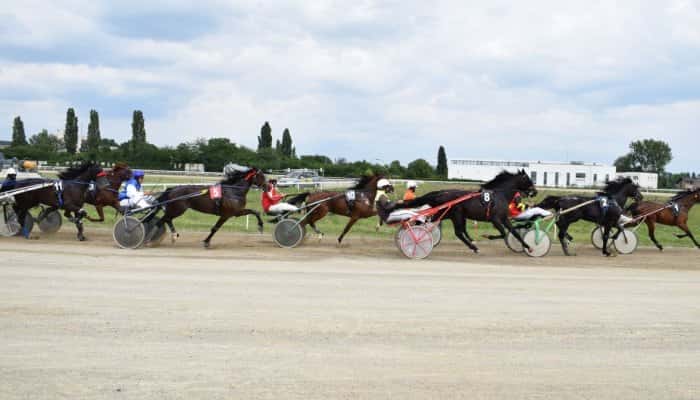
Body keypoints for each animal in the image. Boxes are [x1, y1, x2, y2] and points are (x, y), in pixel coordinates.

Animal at [388, 170, 536, 253]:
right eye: (529, 179)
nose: (535, 192)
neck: (500, 195)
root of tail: (440, 193)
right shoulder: (495, 219)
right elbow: (503, 233)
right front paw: (487, 236)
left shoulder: (504, 218)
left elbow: (514, 232)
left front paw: (528, 247)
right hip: (456, 214)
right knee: (456, 232)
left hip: (450, 214)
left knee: (432, 224)